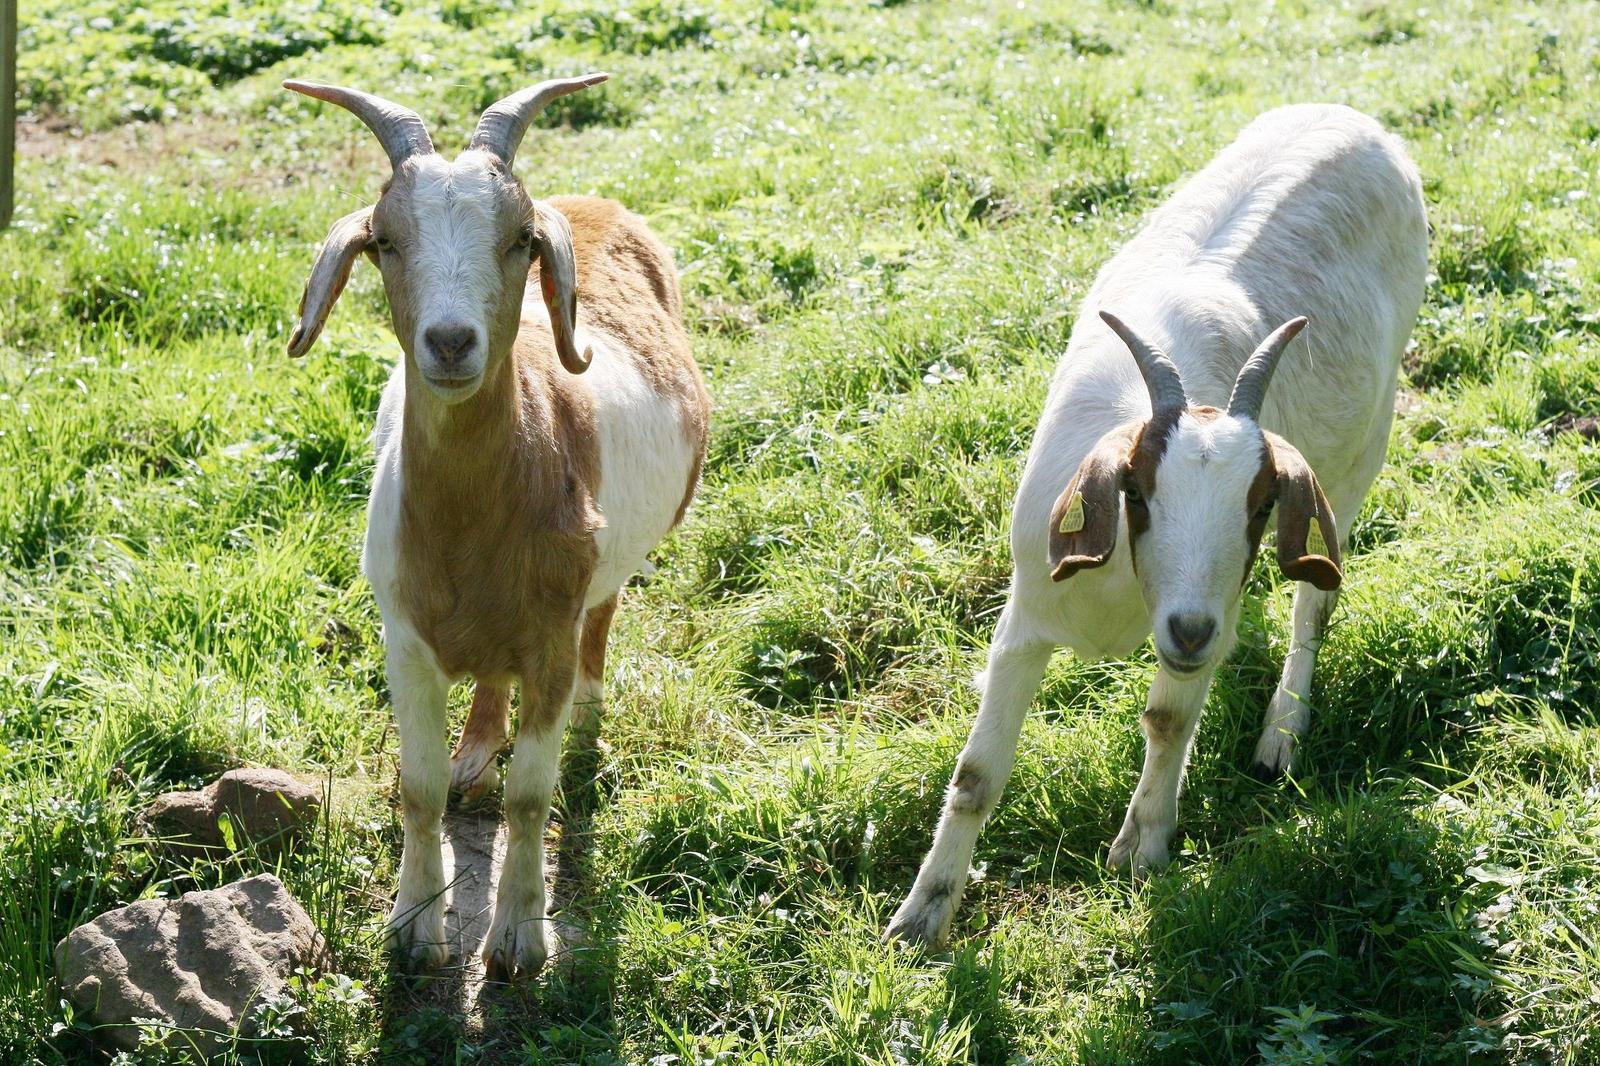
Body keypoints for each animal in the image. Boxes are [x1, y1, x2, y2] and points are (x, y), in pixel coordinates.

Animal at [284, 74, 709, 979]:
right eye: (385, 241)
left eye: (519, 240)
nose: (450, 342)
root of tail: (593, 202)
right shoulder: (404, 638)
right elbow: (418, 790)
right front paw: (415, 926)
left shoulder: (548, 633)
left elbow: (530, 795)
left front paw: (517, 935)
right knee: (486, 679)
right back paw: (477, 746)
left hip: (605, 577)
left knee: (602, 618)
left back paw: (586, 709)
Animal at [887, 104, 1427, 947]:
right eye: (1136, 492)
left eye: (1260, 504)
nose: (1191, 630)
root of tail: (1354, 118)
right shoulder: (1025, 617)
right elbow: (977, 776)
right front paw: (920, 918)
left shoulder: (1206, 616)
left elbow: (1168, 719)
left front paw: (1143, 846)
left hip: (1363, 453)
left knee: (1314, 605)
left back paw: (1281, 735)